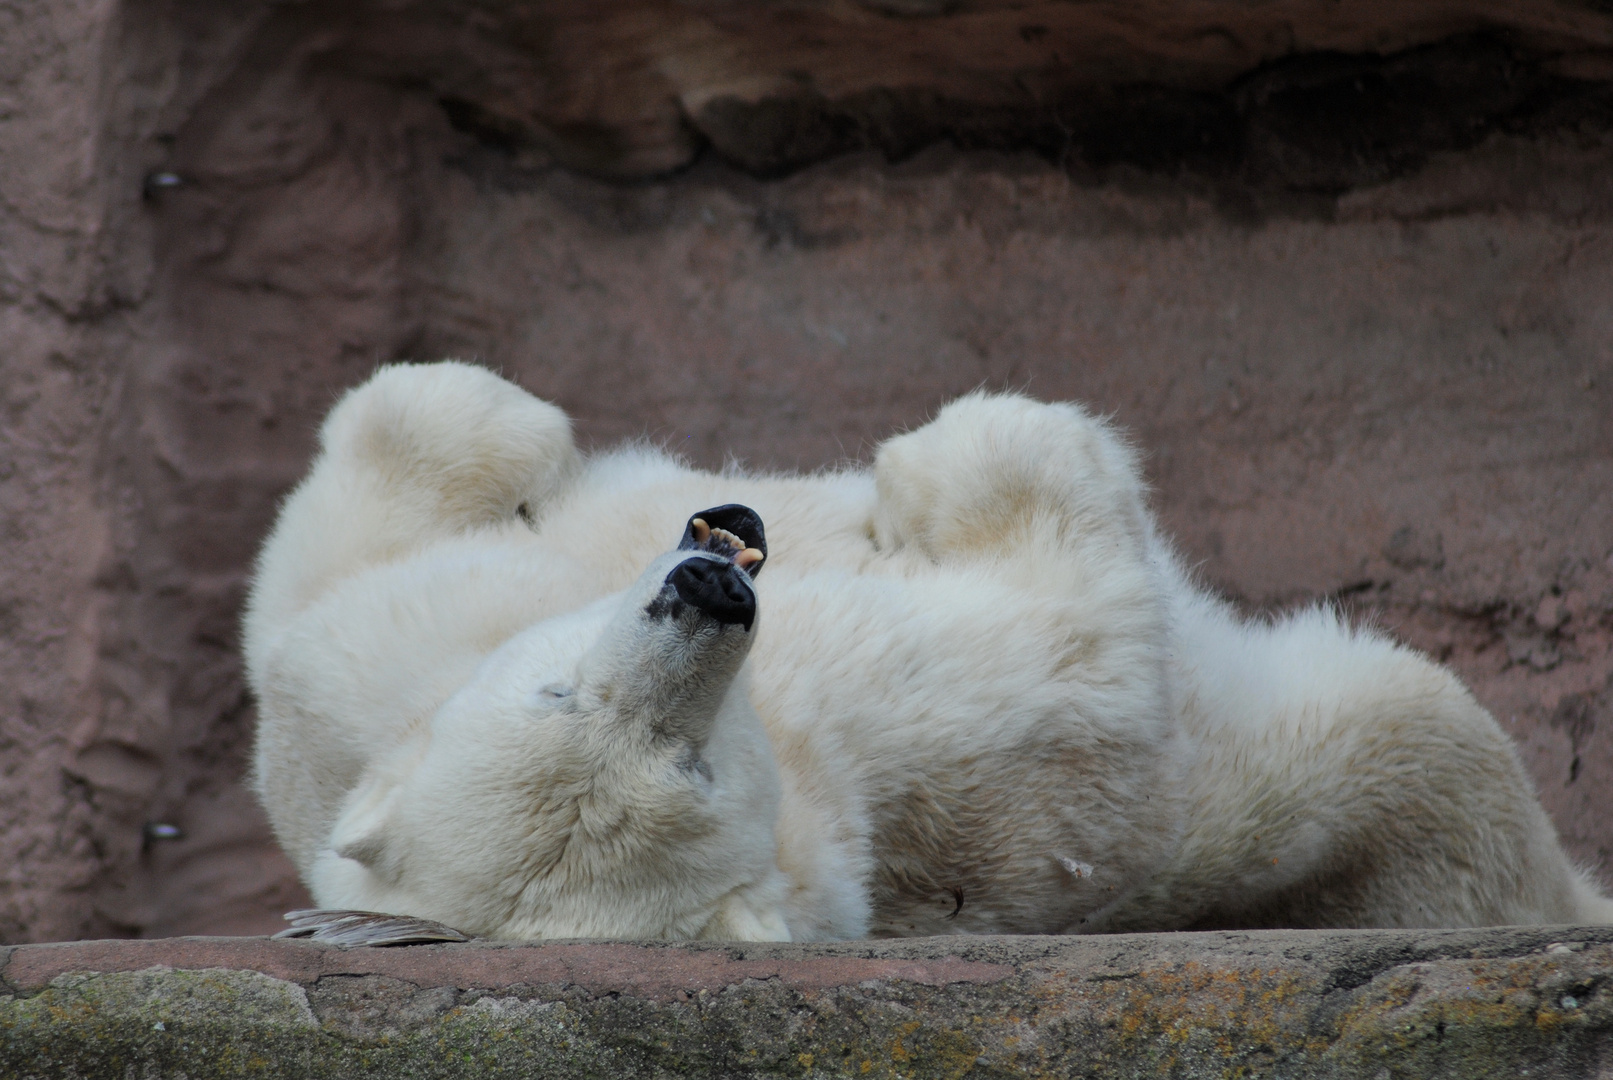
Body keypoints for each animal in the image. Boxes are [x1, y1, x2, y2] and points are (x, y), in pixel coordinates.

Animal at [241, 361, 1613, 941]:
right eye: (691, 767)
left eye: (552, 687)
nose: (705, 589)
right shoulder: (889, 733)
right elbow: (1084, 639)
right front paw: (956, 454)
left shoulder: (357, 674)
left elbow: (322, 562)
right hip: (1397, 775)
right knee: (1429, 747)